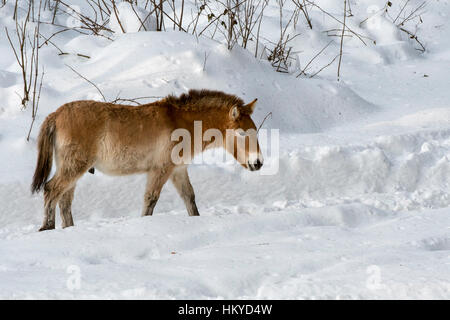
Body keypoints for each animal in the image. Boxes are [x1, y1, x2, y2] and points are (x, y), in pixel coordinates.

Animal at [30, 89, 264, 231]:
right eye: (241, 133)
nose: (258, 163)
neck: (182, 123)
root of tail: (56, 115)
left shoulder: (178, 171)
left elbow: (190, 198)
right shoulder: (160, 170)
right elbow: (150, 199)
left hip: (72, 169)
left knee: (64, 201)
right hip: (73, 167)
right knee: (51, 190)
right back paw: (47, 227)